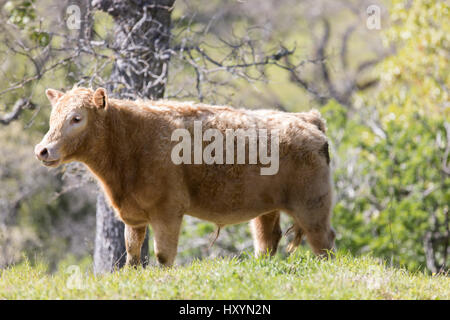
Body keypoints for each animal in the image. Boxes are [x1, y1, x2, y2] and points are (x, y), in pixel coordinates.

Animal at [35, 85, 336, 268]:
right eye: (52, 118)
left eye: (77, 118)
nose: (42, 150)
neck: (130, 137)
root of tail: (308, 119)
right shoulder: (135, 218)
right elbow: (132, 253)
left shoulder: (167, 213)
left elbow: (163, 255)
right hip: (267, 211)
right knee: (267, 241)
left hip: (312, 207)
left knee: (323, 240)